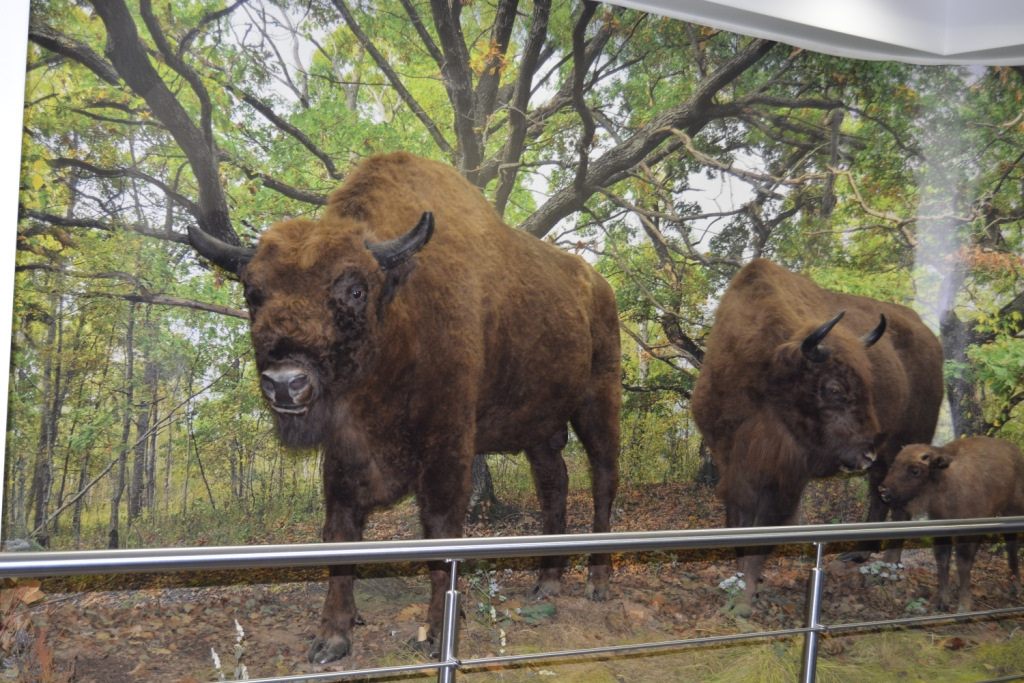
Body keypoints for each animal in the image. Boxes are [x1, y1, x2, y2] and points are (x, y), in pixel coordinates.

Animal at [187, 152, 618, 663]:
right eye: (253, 294)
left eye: (356, 290)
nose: (286, 384)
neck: (401, 313)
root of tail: (599, 287)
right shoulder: (344, 455)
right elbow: (340, 534)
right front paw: (333, 637)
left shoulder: (447, 446)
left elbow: (440, 531)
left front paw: (438, 631)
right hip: (540, 428)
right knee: (554, 485)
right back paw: (547, 582)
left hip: (598, 402)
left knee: (603, 479)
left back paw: (597, 583)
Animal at [692, 259, 937, 610]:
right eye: (834, 389)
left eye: (868, 383)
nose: (865, 453)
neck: (763, 375)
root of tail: (930, 335)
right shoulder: (732, 464)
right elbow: (739, 526)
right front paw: (738, 587)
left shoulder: (784, 480)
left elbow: (762, 532)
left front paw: (746, 596)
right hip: (888, 457)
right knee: (879, 491)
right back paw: (859, 554)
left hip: (909, 444)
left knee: (901, 506)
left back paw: (888, 570)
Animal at [872, 438, 1024, 614]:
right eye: (894, 465)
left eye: (915, 471)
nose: (883, 490)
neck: (945, 480)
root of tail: (1015, 451)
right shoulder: (942, 532)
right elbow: (943, 561)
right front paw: (942, 602)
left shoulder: (967, 533)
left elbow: (962, 563)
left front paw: (963, 607)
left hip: (1011, 511)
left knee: (1011, 545)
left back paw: (1016, 587)